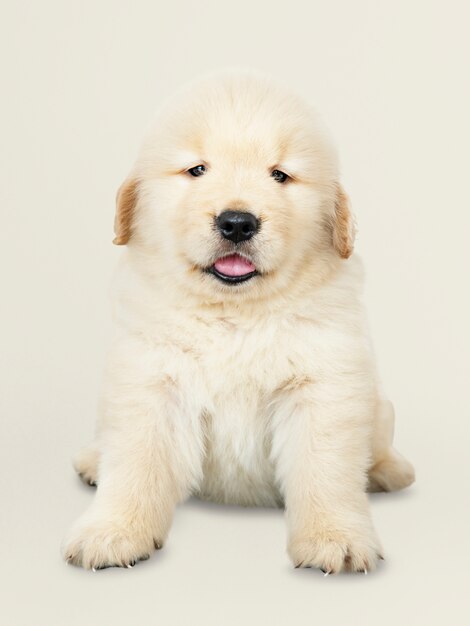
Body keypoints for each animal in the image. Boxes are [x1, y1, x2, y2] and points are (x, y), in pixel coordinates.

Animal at [62, 70, 414, 572]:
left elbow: (325, 470)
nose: (237, 223)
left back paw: (388, 470)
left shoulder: (323, 385)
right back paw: (94, 461)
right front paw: (113, 532)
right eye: (197, 170)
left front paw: (335, 538)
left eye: (280, 175)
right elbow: (136, 462)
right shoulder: (151, 381)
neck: (235, 314)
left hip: (379, 407)